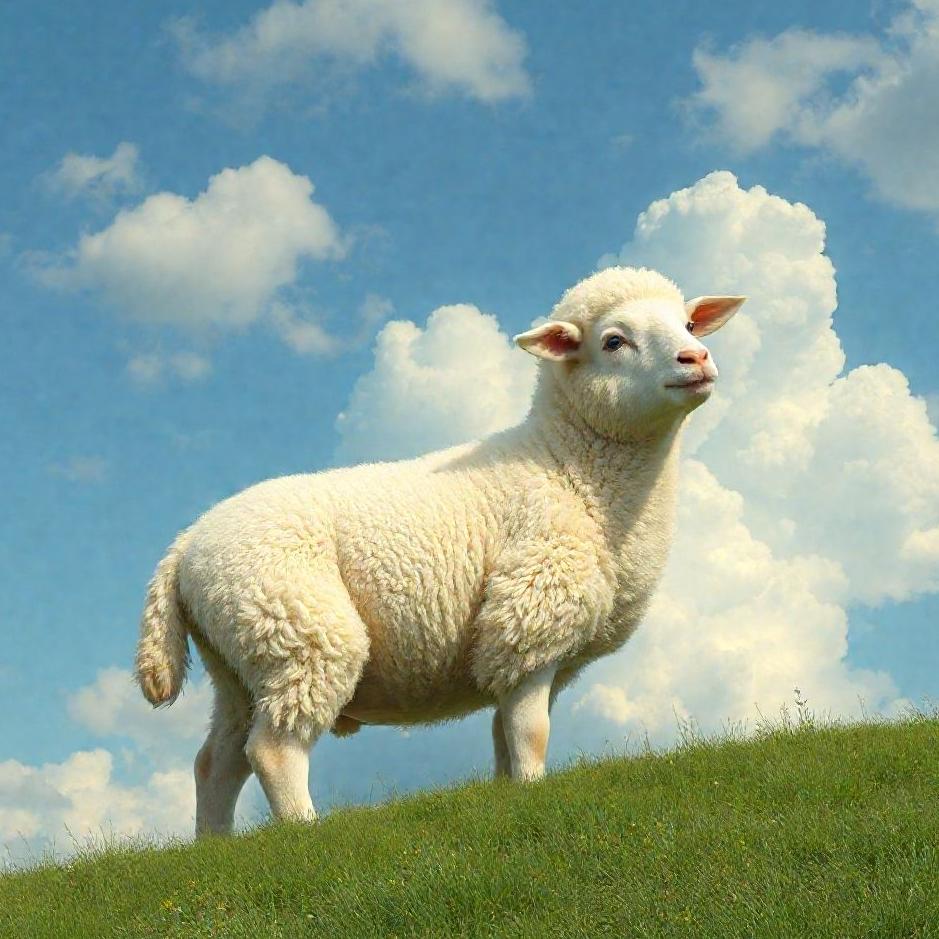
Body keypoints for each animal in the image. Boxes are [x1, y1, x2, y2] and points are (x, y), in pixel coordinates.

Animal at [135, 265, 745, 835]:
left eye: (689, 324)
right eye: (614, 341)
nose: (696, 357)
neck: (570, 469)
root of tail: (184, 547)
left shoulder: (535, 652)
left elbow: (505, 733)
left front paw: (509, 795)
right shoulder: (527, 624)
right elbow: (531, 732)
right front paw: (533, 792)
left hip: (240, 659)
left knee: (217, 762)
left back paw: (218, 846)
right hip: (299, 631)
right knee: (273, 749)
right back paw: (304, 831)